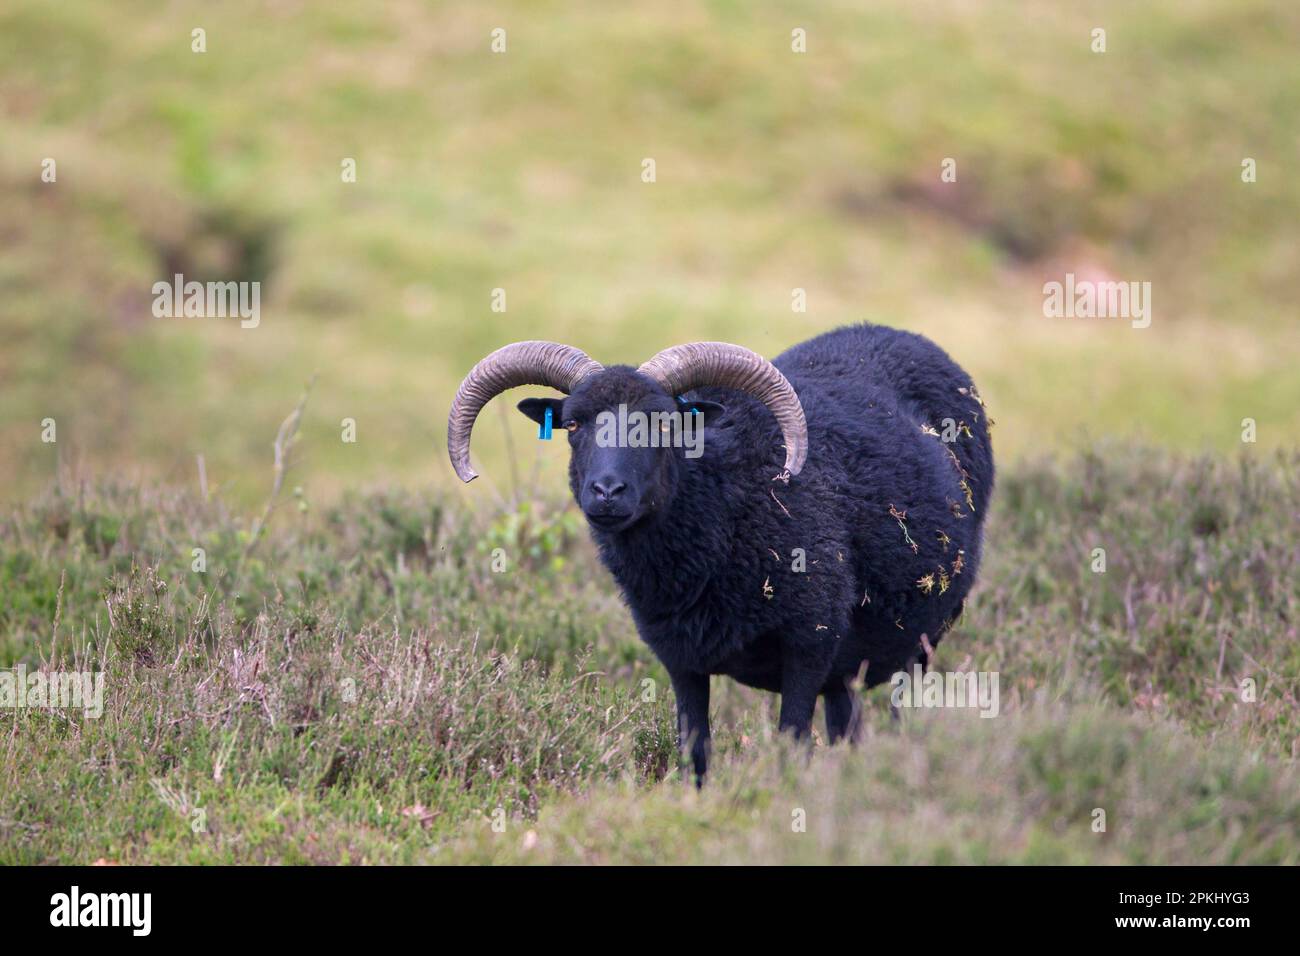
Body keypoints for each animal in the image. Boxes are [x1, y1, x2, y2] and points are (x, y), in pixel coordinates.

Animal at [449, 325, 993, 780]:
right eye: (573, 425)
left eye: (663, 425)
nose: (606, 492)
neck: (722, 502)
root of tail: (901, 334)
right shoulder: (680, 661)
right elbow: (695, 752)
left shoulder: (809, 646)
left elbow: (791, 744)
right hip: (851, 667)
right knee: (848, 729)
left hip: (919, 646)